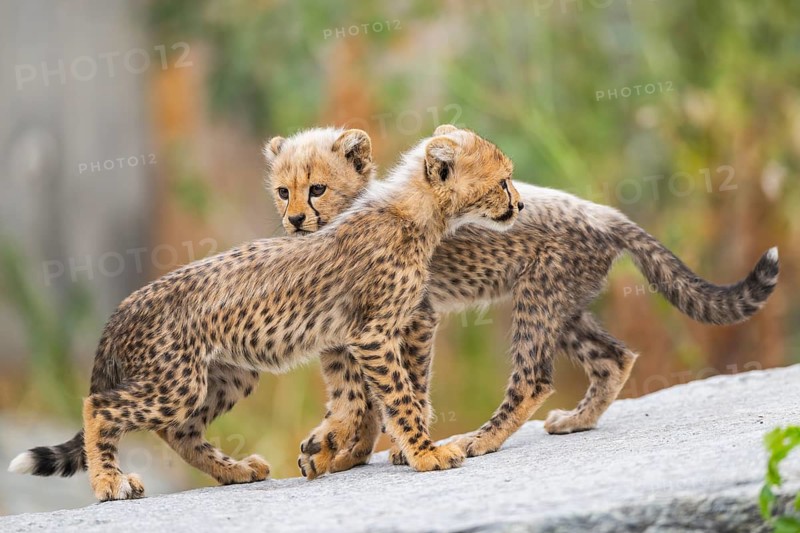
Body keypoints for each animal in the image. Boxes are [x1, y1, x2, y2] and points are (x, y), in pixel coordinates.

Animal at [8, 127, 523, 500]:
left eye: (317, 190)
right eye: (502, 180)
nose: (518, 203)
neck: (413, 212)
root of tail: (129, 301)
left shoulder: (367, 333)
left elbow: (370, 398)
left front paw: (350, 446)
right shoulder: (373, 334)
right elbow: (399, 396)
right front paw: (424, 452)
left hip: (224, 375)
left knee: (179, 430)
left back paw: (234, 470)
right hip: (176, 383)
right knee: (99, 406)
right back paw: (109, 482)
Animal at [270, 125, 780, 476]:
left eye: (317, 188)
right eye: (283, 191)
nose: (294, 220)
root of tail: (603, 211)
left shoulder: (414, 318)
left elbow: (398, 387)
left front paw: (394, 447)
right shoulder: (345, 329)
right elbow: (350, 394)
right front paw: (337, 447)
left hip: (538, 298)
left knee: (533, 378)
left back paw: (481, 439)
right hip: (563, 304)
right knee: (614, 357)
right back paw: (577, 420)